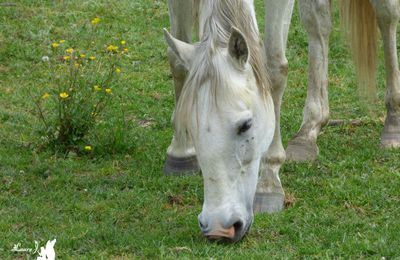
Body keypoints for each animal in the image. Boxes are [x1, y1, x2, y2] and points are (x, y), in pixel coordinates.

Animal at [163, 0, 400, 242]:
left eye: (246, 125)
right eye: (189, 128)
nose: (219, 228)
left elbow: (273, 69)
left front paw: (269, 184)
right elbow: (176, 60)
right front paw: (180, 152)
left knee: (387, 14)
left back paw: (392, 123)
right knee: (318, 22)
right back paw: (308, 133)